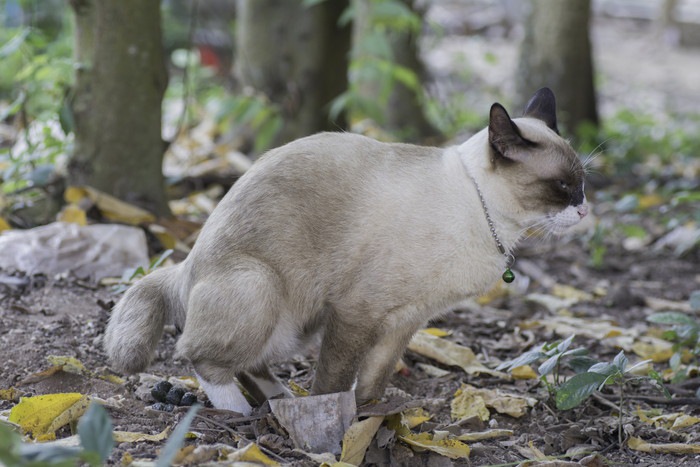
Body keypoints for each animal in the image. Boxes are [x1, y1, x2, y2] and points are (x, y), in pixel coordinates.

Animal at [102, 88, 584, 416]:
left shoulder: (405, 320)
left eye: (583, 183)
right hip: (262, 287)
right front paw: (329, 424)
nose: (583, 209)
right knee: (199, 355)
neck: (488, 216)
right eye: (561, 186)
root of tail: (186, 265)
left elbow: (372, 380)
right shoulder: (357, 312)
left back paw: (278, 400)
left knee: (248, 364)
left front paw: (368, 418)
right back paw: (240, 414)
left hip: (295, 327)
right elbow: (334, 380)